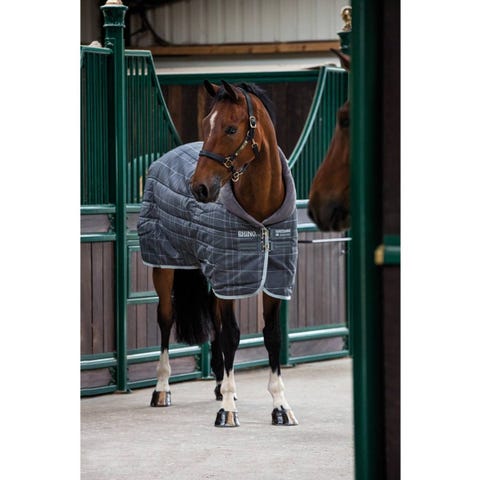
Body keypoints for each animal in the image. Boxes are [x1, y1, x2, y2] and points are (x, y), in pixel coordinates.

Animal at [137, 80, 299, 427]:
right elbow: (232, 335)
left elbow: (272, 336)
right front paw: (227, 411)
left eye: (231, 128)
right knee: (166, 320)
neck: (260, 216)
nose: (199, 188)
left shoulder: (272, 279)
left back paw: (220, 384)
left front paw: (280, 406)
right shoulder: (230, 277)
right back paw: (162, 389)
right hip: (165, 267)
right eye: (206, 124)